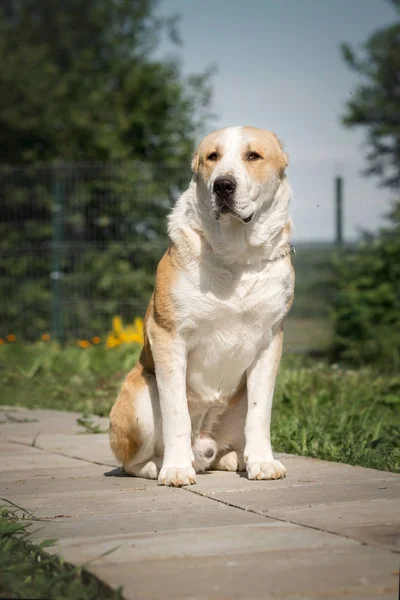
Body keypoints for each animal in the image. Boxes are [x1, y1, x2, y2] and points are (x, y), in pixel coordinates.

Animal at [108, 126, 294, 488]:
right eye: (212, 157)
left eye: (253, 156)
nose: (223, 185)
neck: (237, 256)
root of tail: (203, 444)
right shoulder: (168, 337)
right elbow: (176, 411)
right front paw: (176, 469)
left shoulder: (270, 341)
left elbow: (260, 410)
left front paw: (262, 462)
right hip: (139, 398)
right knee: (131, 463)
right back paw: (160, 466)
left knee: (224, 447)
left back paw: (235, 459)